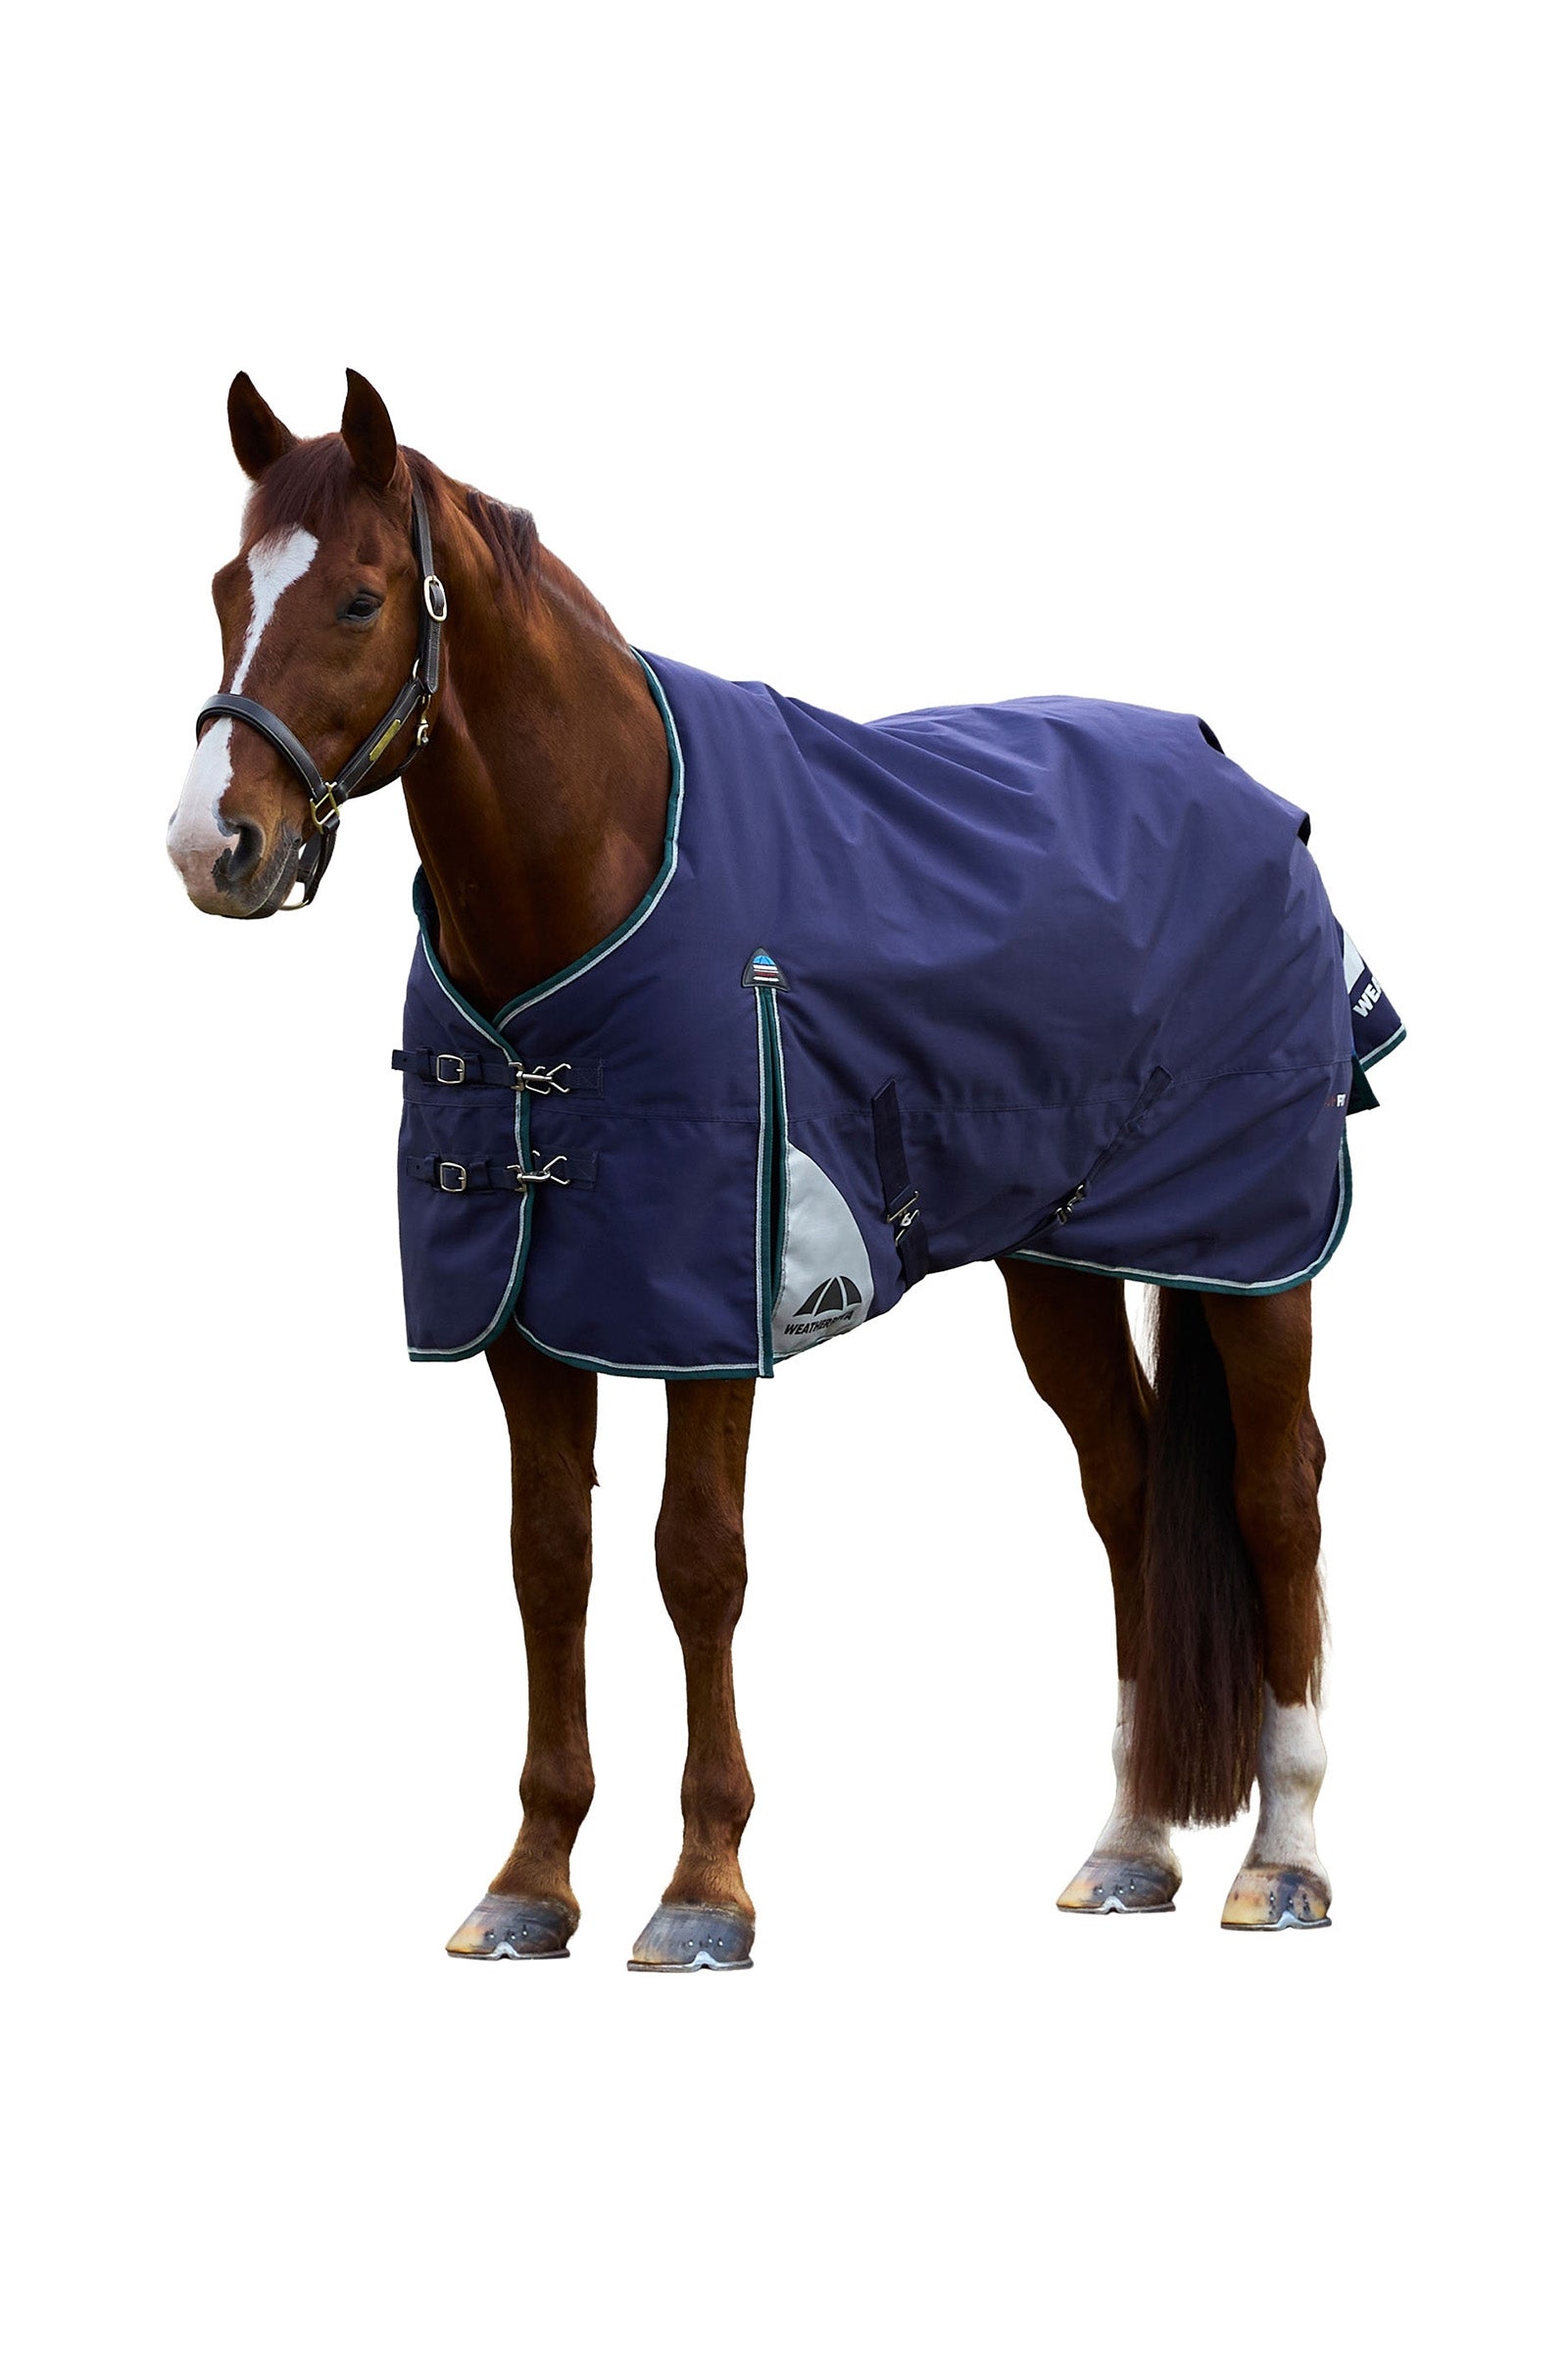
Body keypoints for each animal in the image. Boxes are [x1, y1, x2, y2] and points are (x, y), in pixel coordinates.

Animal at [169, 369, 1390, 1965]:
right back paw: (1128, 1846)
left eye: (362, 599)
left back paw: (1285, 1859)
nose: (212, 846)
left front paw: (703, 1889)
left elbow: (698, 1562)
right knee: (1127, 1488)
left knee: (1275, 1491)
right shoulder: (527, 1315)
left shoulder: (709, 1312)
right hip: (1060, 1259)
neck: (605, 866)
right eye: (223, 589)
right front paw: (531, 1880)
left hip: (1252, 1245)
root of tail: (1236, 780)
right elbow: (548, 1560)